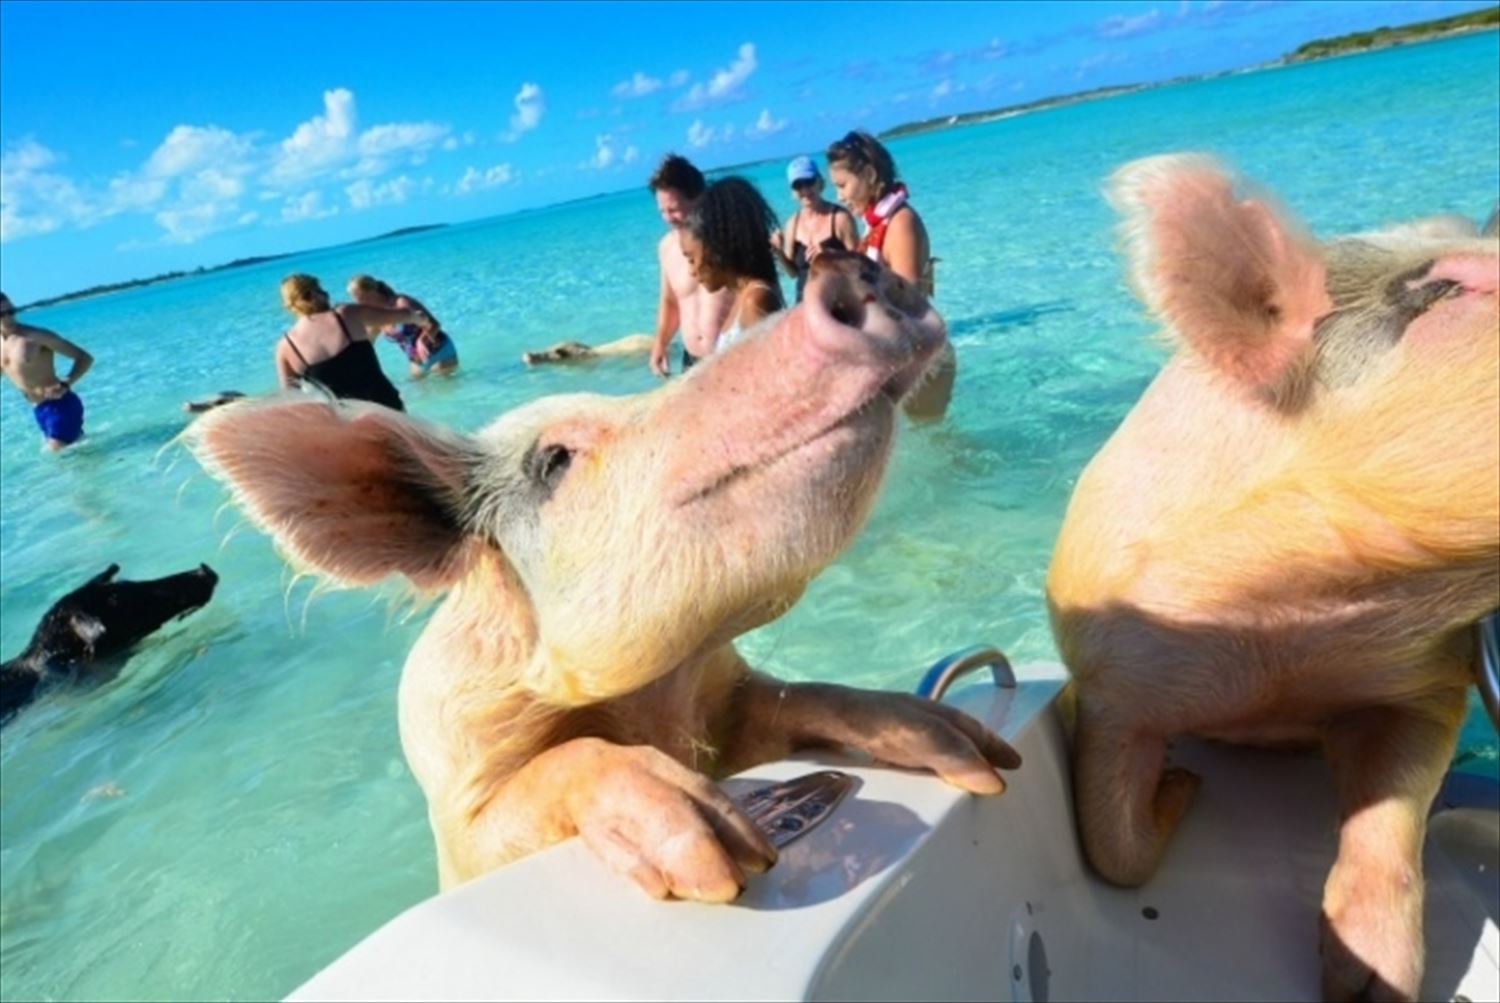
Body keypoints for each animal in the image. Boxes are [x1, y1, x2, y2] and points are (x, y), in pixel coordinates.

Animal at [187, 250, 1020, 899]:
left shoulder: (729, 702)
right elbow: (544, 781)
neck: (646, 701)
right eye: (553, 459)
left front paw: (979, 756)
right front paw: (722, 855)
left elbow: (812, 696)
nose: (845, 268)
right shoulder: (458, 804)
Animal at [1050, 152, 1494, 995]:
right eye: (1451, 289)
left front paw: (1367, 986)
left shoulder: (1429, 673)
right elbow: (1112, 850)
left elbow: (1394, 809)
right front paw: (1183, 784)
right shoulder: (1111, 676)